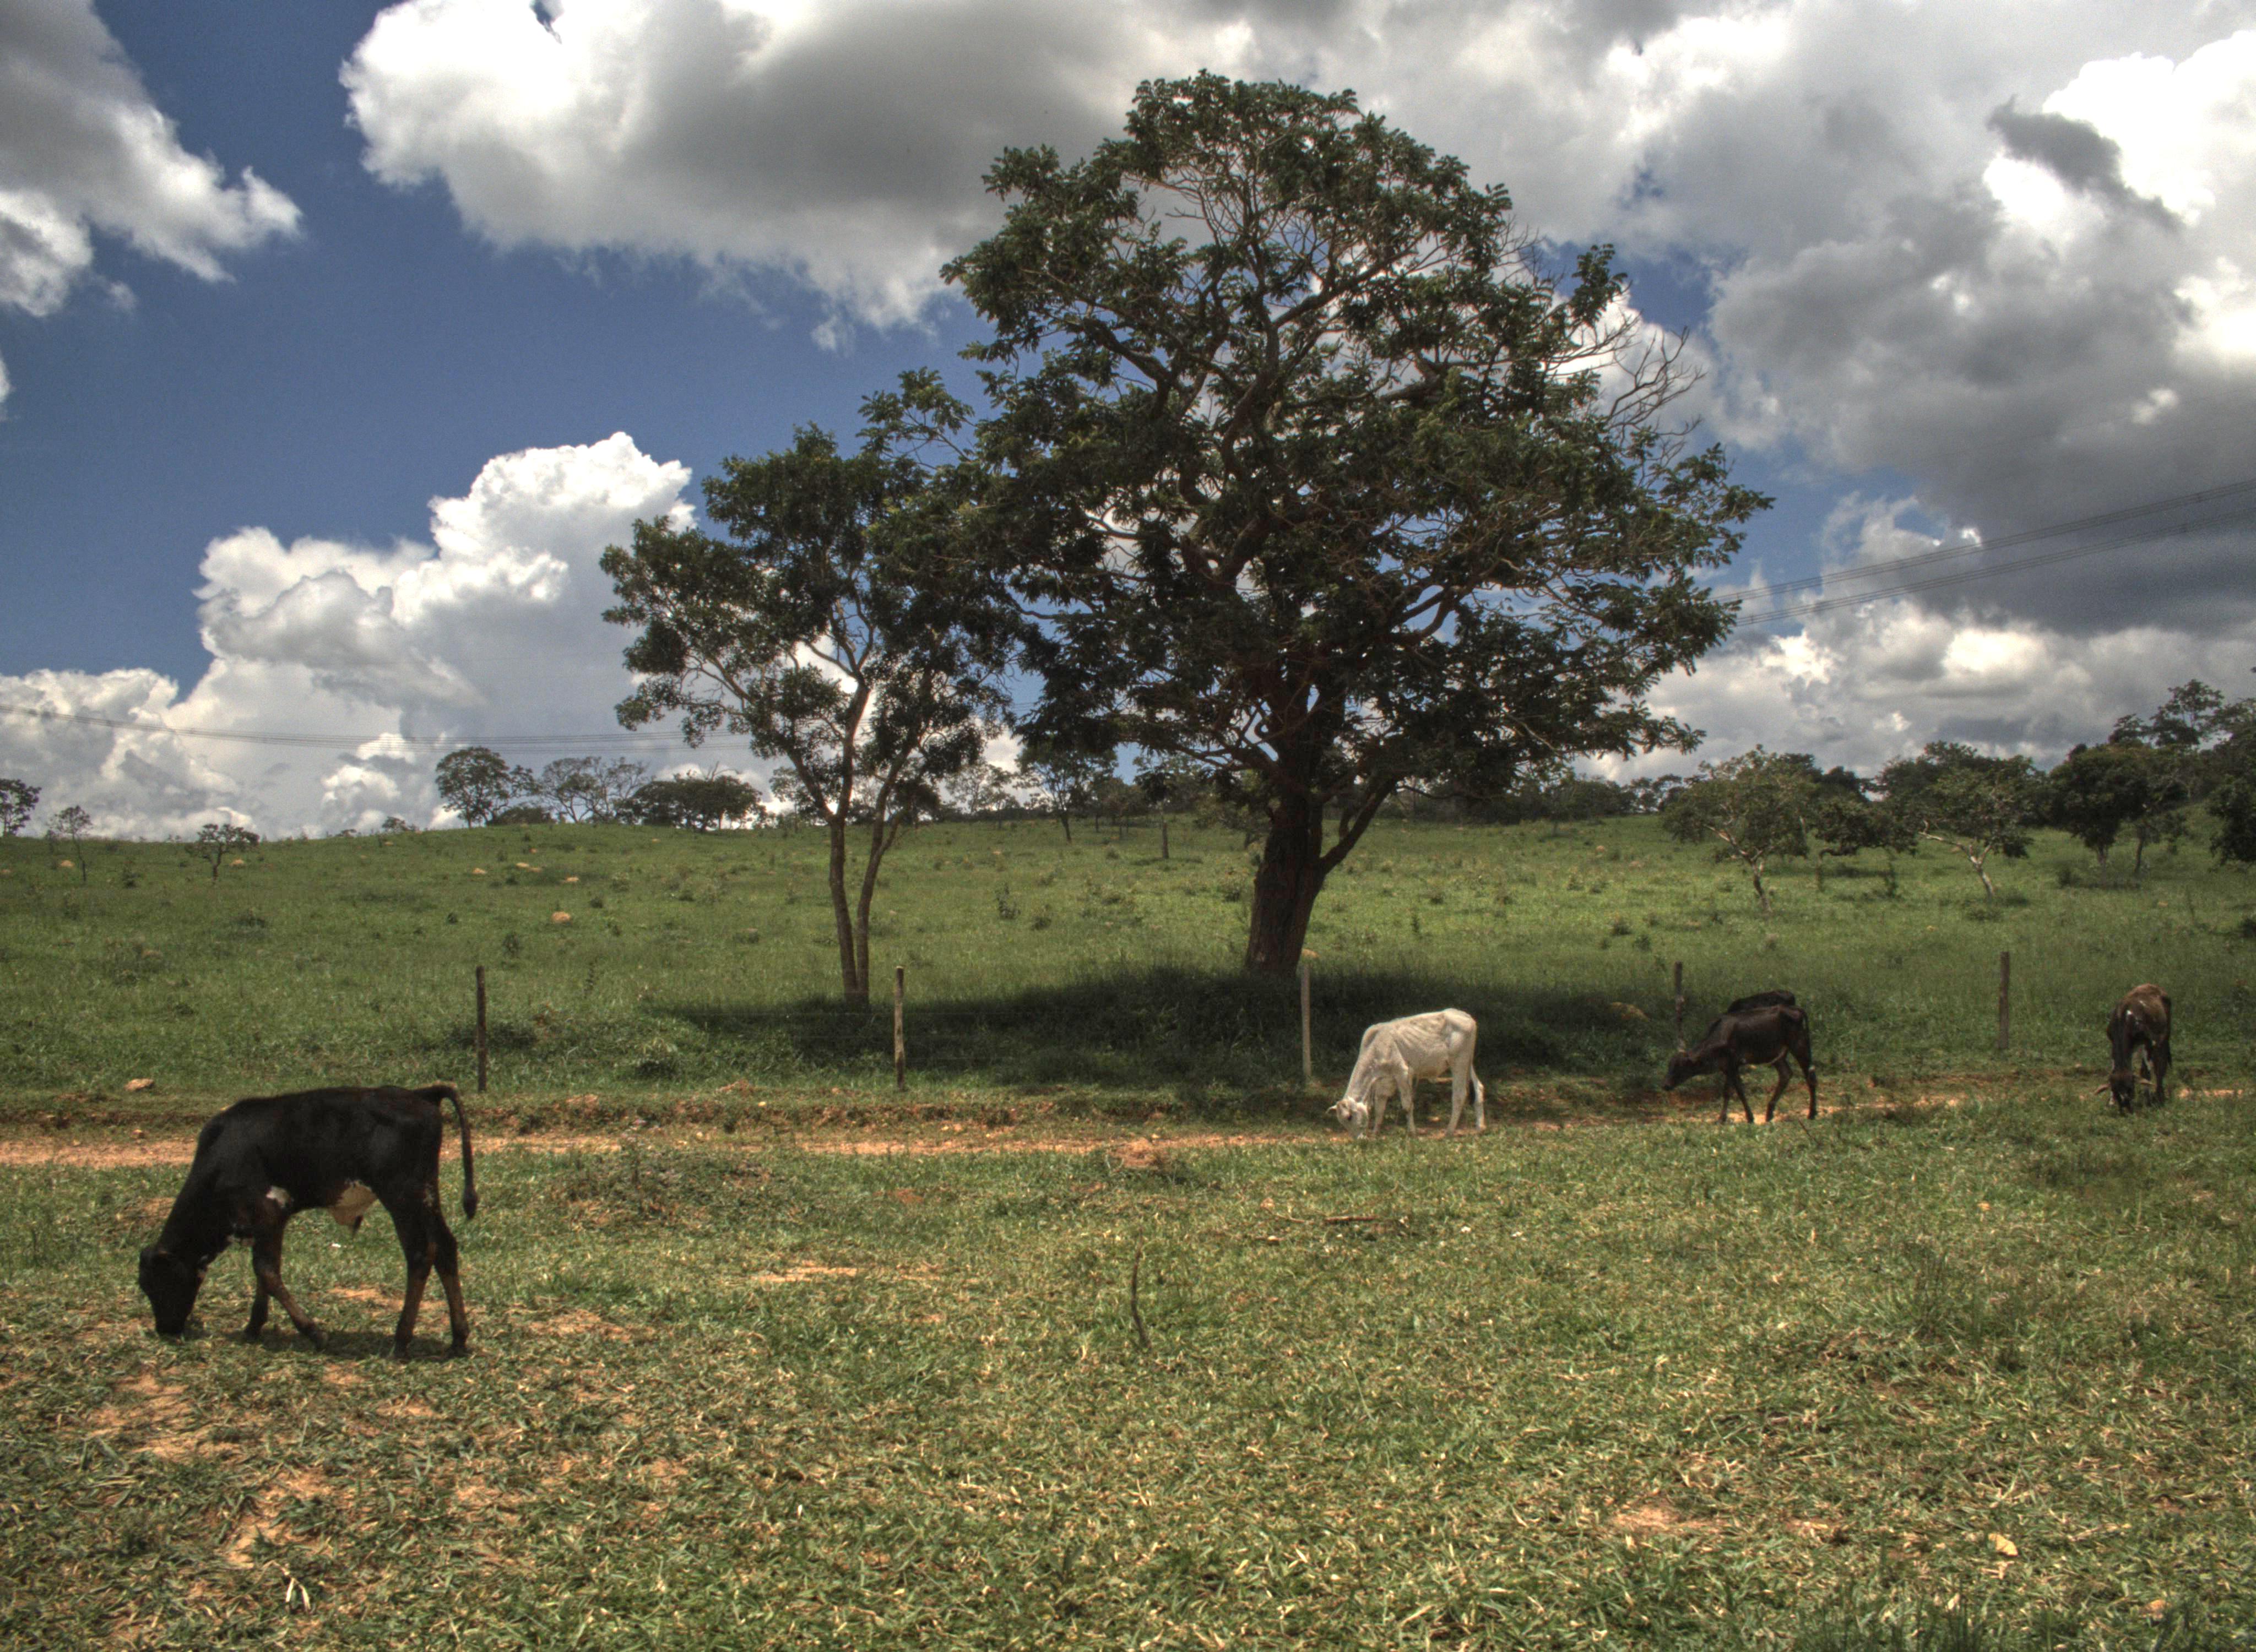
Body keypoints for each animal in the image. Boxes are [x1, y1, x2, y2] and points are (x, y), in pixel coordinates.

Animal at [137, 1084, 477, 1359]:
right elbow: (265, 1274)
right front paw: (254, 1326)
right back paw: (458, 1339)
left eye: (157, 1283)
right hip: (426, 1197)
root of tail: (420, 1095)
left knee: (421, 1254)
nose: (165, 1329)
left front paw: (314, 1333)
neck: (221, 1159)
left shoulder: (268, 1213)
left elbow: (266, 1272)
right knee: (446, 1248)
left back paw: (402, 1340)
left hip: (403, 1197)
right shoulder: (267, 1224)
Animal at [1330, 1010, 1486, 1139]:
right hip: (1468, 1064)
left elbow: (1407, 1105)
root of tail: (1466, 1017)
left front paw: (1412, 1132)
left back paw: (1449, 1132)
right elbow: (1380, 1109)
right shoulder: (1384, 1083)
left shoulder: (1403, 1073)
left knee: (1459, 1095)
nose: (1359, 1140)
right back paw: (1480, 1128)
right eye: (1342, 1122)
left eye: (1349, 1117)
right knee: (1478, 1088)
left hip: (1459, 1063)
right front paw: (1375, 1133)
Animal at [1664, 1001, 1817, 1124]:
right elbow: (1727, 1092)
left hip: (1799, 1045)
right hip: (1777, 1055)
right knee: (1786, 1075)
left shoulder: (1733, 1065)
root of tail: (1794, 1009)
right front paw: (1722, 1119)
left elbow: (1738, 1091)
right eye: (1669, 1066)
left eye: (1680, 1067)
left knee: (1810, 1078)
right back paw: (1769, 1113)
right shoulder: (1727, 1067)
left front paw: (1749, 1118)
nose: (1666, 1085)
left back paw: (1811, 1114)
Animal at [2103, 984, 2172, 1112]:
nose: (2125, 1106)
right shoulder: (2115, 1043)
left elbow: (2147, 1073)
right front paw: (2111, 1102)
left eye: (2130, 1089)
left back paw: (2160, 1096)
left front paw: (2149, 1101)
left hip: (2164, 1037)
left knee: (2160, 1066)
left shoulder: (2148, 1043)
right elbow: (2114, 1068)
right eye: (2116, 1091)